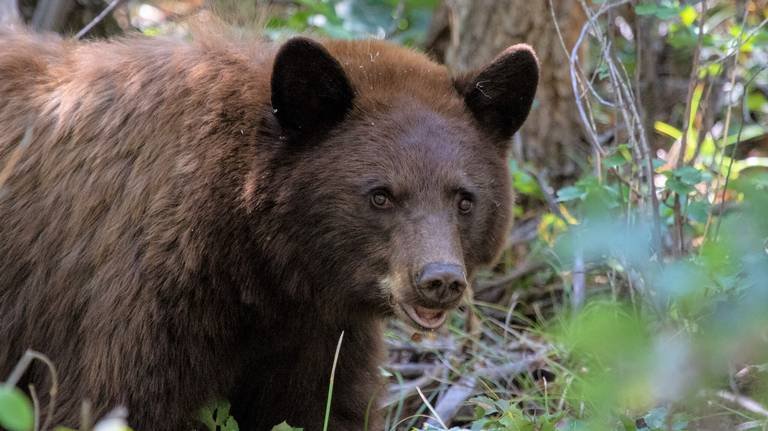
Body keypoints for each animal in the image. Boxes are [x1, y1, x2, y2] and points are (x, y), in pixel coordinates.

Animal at [0, 26, 540, 428]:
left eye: (464, 199)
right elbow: (108, 402)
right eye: (380, 195)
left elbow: (320, 410)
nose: (440, 280)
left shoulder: (321, 337)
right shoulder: (134, 304)